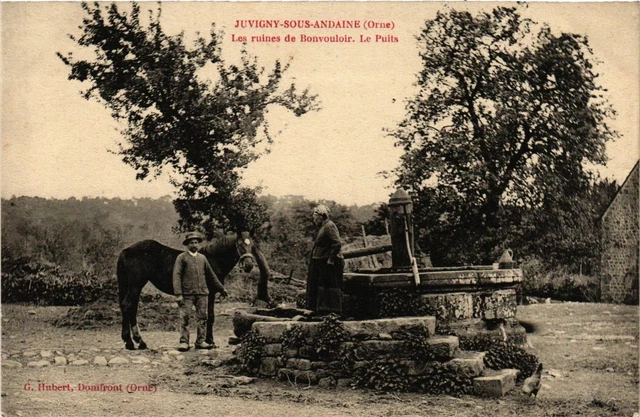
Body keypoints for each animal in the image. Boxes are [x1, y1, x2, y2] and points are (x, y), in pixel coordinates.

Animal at [115, 232, 270, 350]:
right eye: (239, 244)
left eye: (251, 245)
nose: (249, 265)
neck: (213, 259)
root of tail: (126, 251)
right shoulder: (210, 293)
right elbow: (210, 316)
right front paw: (210, 341)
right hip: (136, 285)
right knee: (128, 305)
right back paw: (134, 342)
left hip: (132, 286)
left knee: (130, 308)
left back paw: (134, 342)